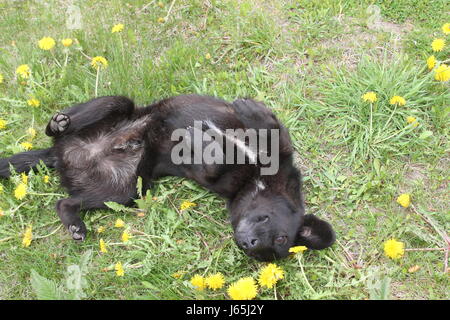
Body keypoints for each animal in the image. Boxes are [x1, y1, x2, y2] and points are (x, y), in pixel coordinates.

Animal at [0, 95, 334, 260]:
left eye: (276, 246)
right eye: (280, 237)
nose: (247, 244)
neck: (255, 180)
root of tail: (57, 156)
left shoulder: (211, 174)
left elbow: (217, 160)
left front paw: (204, 142)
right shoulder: (278, 154)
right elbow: (275, 132)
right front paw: (249, 112)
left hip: (125, 191)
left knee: (65, 203)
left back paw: (75, 226)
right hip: (116, 106)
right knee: (82, 116)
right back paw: (58, 124)